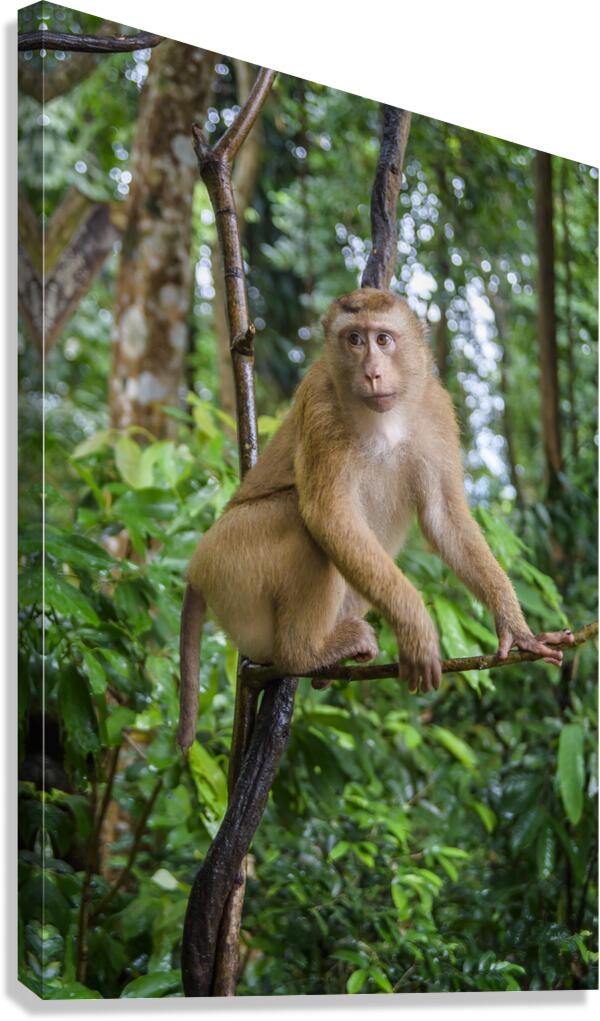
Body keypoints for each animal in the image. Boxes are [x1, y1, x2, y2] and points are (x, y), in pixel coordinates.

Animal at [177, 287, 574, 751]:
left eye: (383, 339)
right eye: (354, 340)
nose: (371, 373)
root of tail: (195, 569)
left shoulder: (436, 409)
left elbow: (444, 518)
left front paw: (517, 628)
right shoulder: (321, 400)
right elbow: (328, 515)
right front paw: (417, 628)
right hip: (230, 563)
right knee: (300, 522)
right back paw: (305, 654)